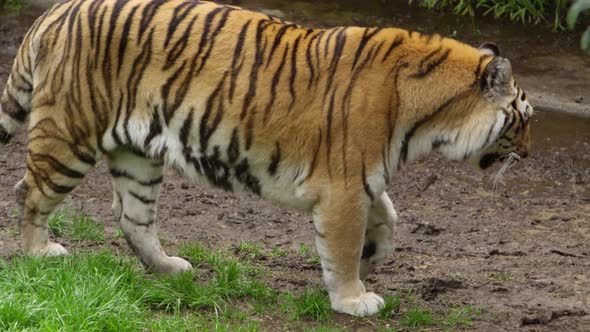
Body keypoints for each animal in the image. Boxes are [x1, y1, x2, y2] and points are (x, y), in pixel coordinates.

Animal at [0, 0, 536, 316]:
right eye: (524, 118)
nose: (530, 154)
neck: (430, 117)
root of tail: (54, 13)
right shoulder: (344, 186)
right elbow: (343, 245)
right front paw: (353, 298)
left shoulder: (360, 178)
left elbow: (388, 214)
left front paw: (373, 254)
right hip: (69, 135)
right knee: (29, 192)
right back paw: (39, 254)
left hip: (138, 155)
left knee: (132, 216)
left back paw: (170, 268)